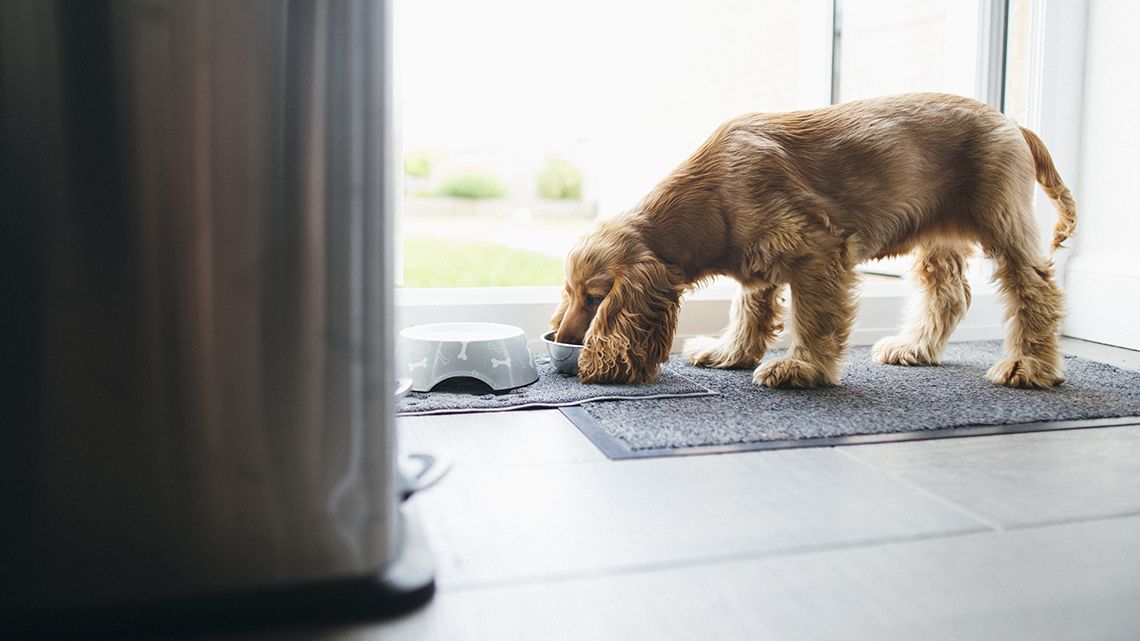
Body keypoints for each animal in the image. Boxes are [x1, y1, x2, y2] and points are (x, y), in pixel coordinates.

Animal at [551, 92, 1076, 387]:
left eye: (596, 297)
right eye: (569, 293)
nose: (561, 340)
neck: (712, 192)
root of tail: (1013, 123)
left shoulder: (819, 251)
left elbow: (814, 318)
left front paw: (802, 370)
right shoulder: (759, 260)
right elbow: (749, 309)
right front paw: (730, 353)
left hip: (1002, 220)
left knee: (1036, 290)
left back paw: (1029, 366)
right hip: (938, 238)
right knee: (949, 294)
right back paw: (915, 348)